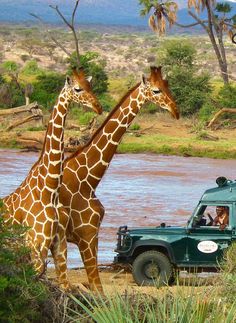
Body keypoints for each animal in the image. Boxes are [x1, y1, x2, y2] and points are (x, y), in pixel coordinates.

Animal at [2, 68, 102, 288]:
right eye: (77, 89)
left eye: (91, 86)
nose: (98, 107)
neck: (50, 188)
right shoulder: (35, 245)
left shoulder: (58, 243)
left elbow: (64, 288)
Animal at [60, 66, 180, 294]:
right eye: (156, 90)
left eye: (168, 85)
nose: (176, 111)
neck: (87, 179)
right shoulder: (87, 234)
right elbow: (96, 288)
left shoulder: (87, 236)